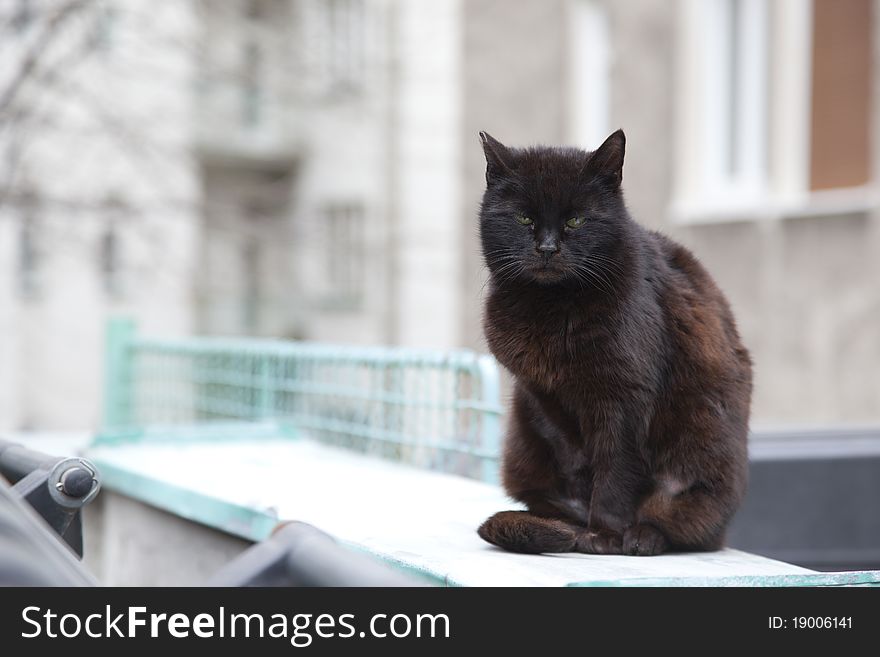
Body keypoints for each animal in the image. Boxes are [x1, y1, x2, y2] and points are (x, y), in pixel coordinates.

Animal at [478, 129, 752, 552]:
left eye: (575, 220)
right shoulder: (541, 393)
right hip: (521, 449)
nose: (547, 248)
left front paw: (605, 533)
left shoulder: (623, 400)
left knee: (681, 523)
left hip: (699, 459)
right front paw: (588, 523)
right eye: (524, 217)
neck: (551, 308)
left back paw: (642, 538)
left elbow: (615, 469)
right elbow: (576, 459)